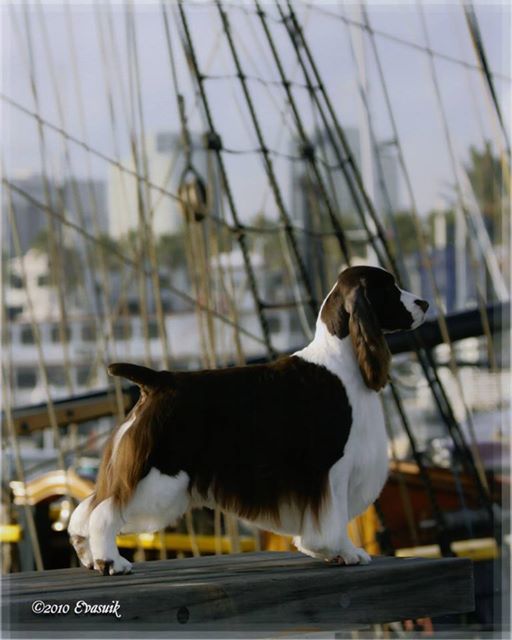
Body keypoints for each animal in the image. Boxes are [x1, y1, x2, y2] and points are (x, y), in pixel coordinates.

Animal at [69, 265, 428, 575]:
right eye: (389, 288)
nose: (424, 303)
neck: (342, 360)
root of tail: (155, 380)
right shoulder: (333, 466)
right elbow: (334, 516)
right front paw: (345, 551)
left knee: (86, 509)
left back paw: (89, 557)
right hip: (158, 472)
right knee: (104, 512)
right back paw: (111, 562)